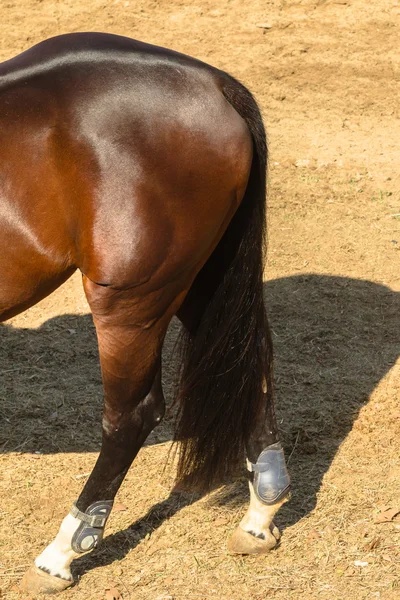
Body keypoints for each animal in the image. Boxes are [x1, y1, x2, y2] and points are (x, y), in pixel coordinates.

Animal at [0, 34, 290, 596]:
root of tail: (213, 83)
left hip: (130, 302)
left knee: (130, 417)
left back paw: (61, 554)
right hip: (199, 282)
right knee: (250, 366)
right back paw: (259, 517)